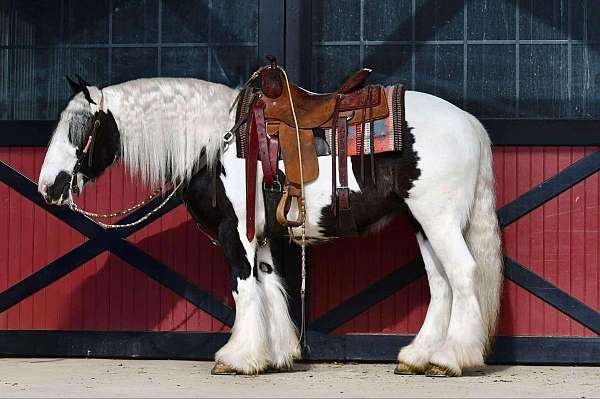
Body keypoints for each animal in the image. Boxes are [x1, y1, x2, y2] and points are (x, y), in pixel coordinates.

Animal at [37, 73, 504, 376]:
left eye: (79, 128)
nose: (47, 186)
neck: (218, 141)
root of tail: (470, 124)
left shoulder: (235, 233)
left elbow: (243, 288)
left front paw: (237, 358)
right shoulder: (258, 237)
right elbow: (268, 286)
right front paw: (276, 353)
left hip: (438, 220)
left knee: (462, 274)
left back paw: (450, 358)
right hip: (421, 223)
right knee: (441, 283)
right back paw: (419, 356)